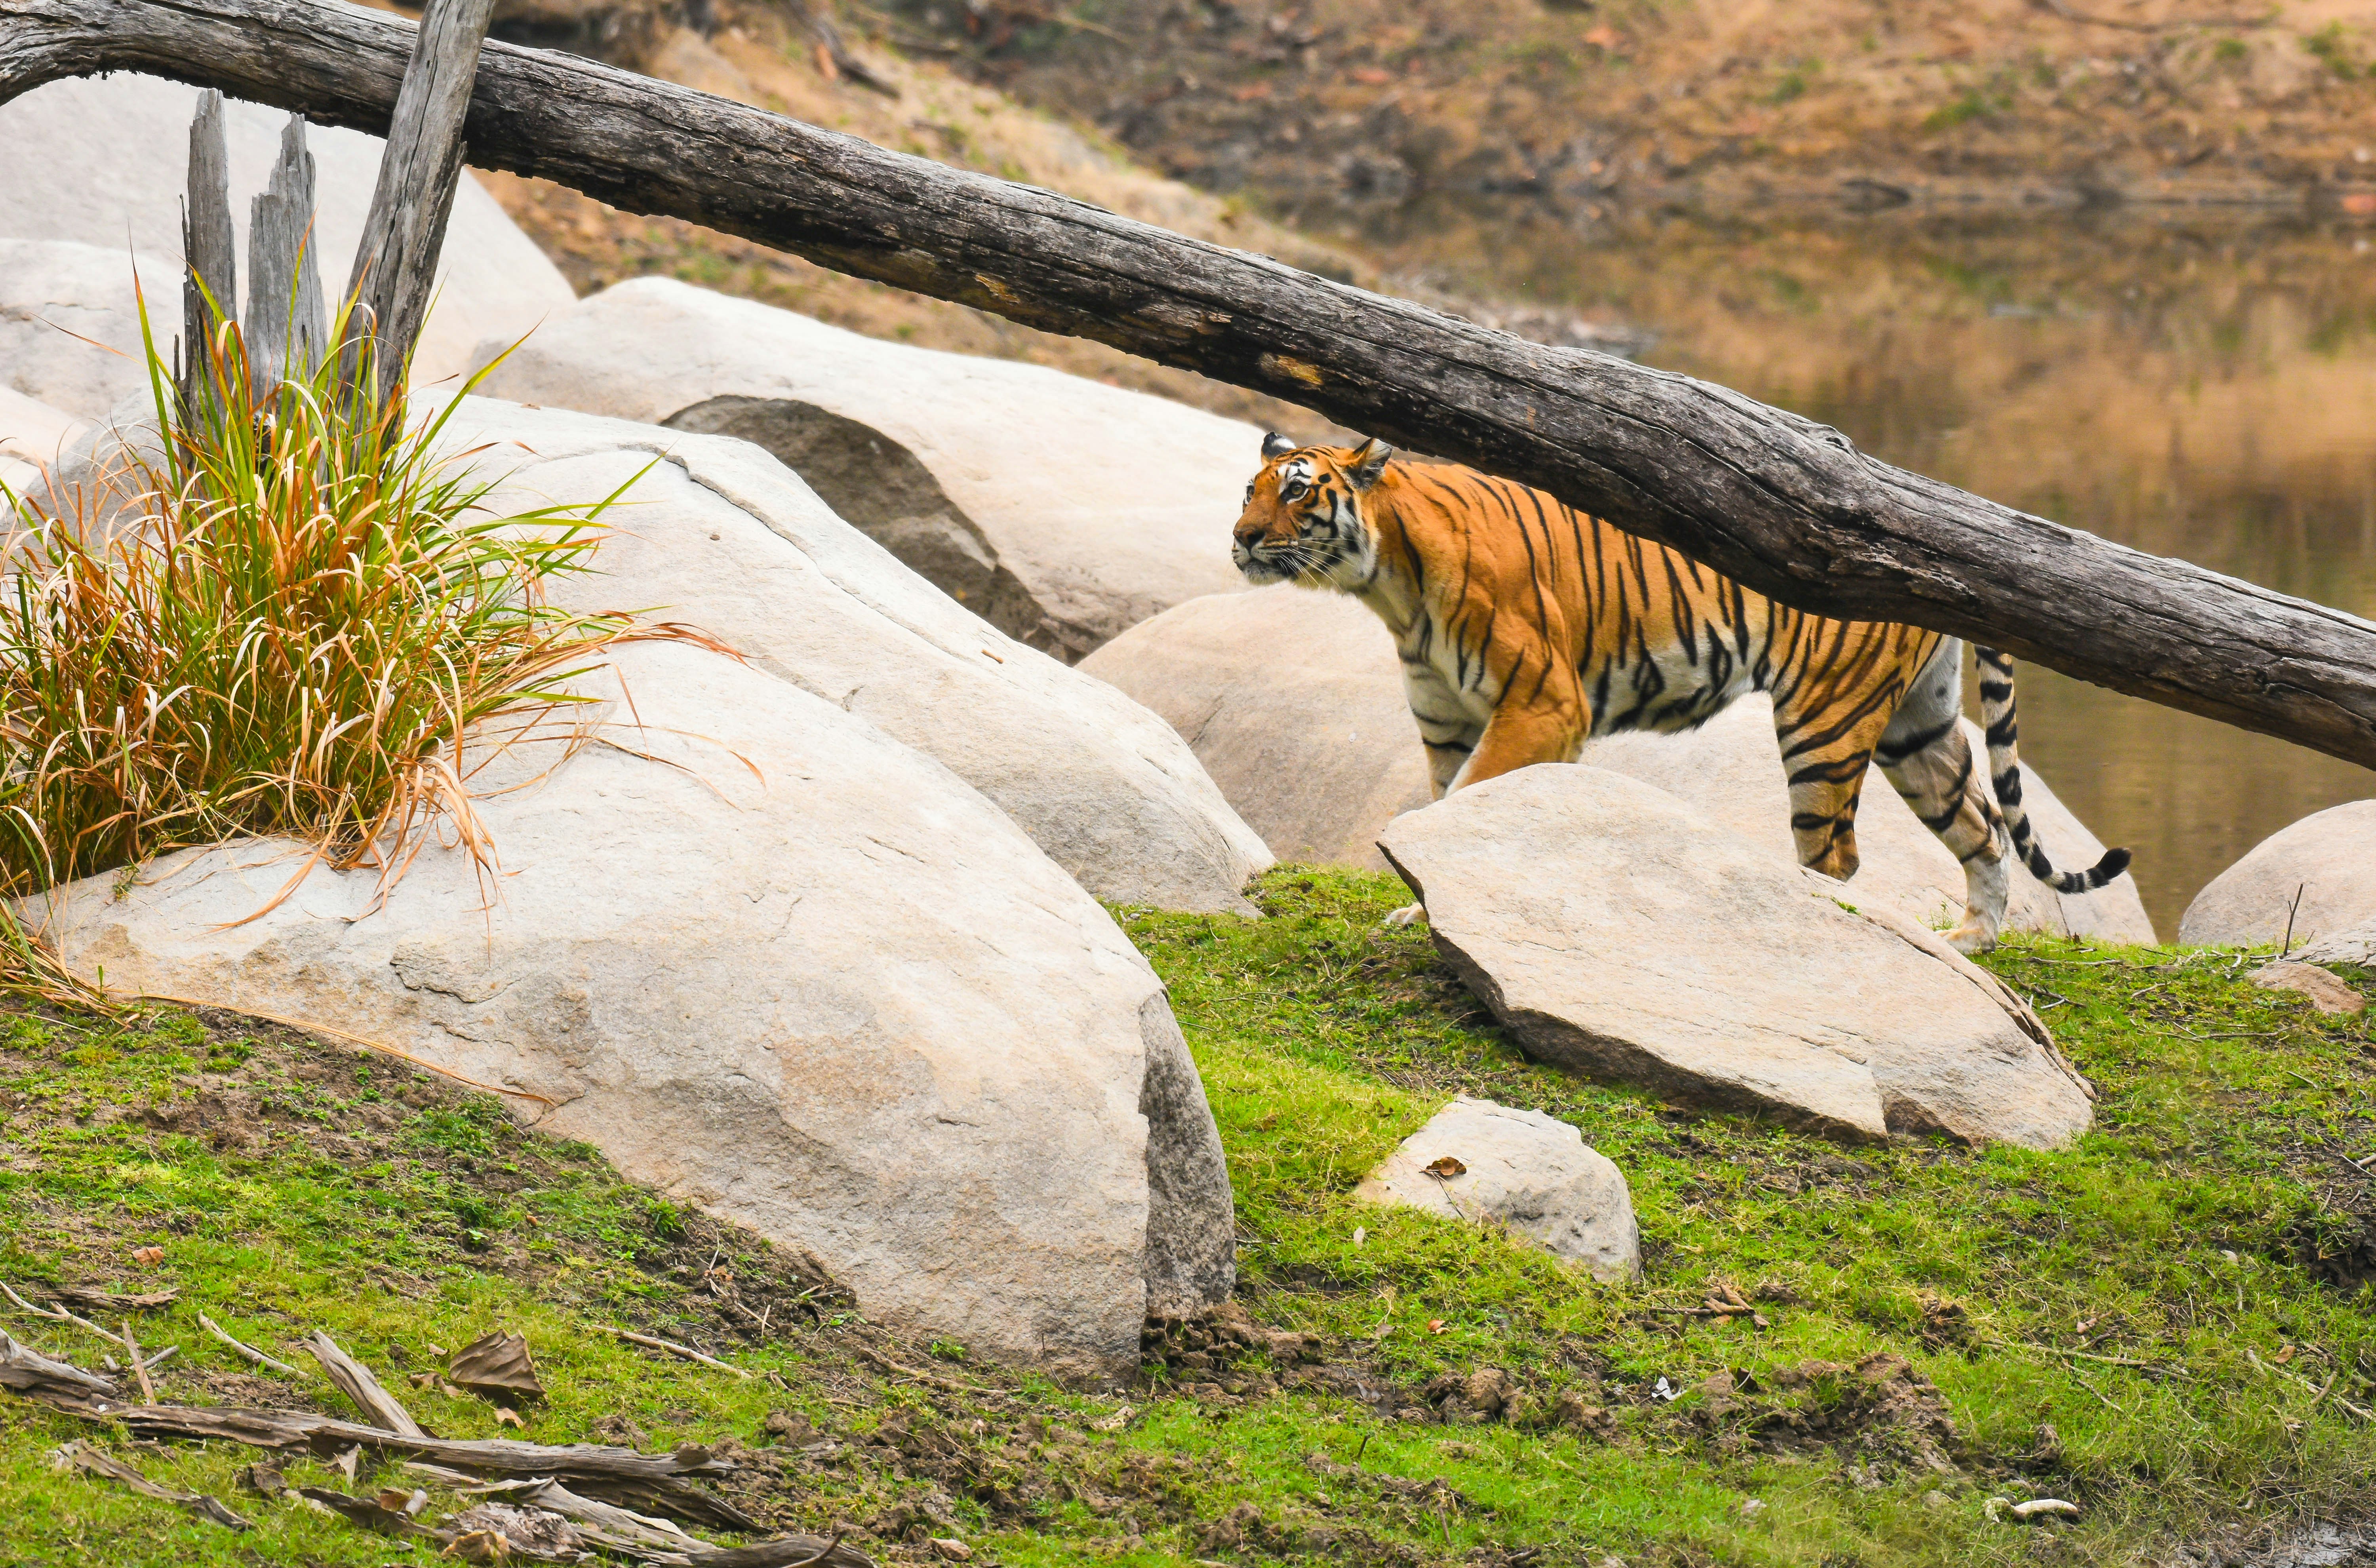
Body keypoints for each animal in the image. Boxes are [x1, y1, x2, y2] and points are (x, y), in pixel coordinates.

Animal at [1229, 432, 2130, 953]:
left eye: (1299, 490)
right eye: (1251, 489)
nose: (1239, 538)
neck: (1389, 587)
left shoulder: (1543, 707)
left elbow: (1463, 812)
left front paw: (1428, 917)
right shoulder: (1450, 725)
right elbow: (1445, 820)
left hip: (1824, 722)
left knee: (1836, 856)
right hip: (1920, 728)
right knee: (1983, 826)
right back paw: (1973, 944)